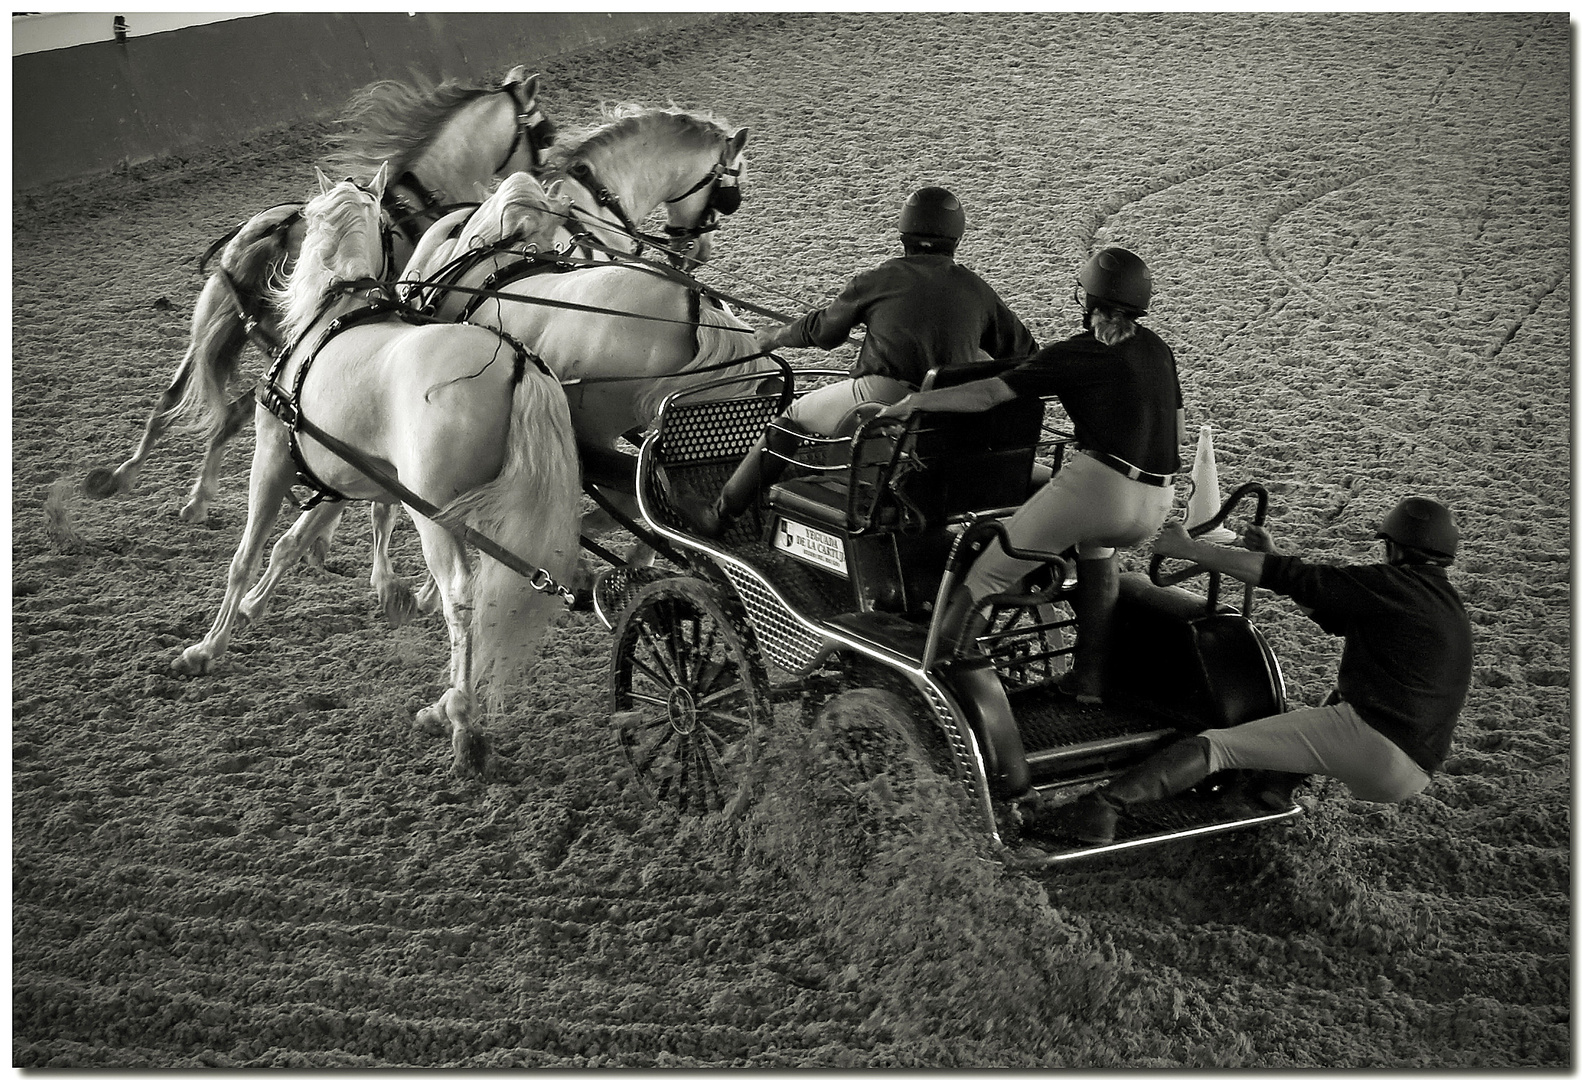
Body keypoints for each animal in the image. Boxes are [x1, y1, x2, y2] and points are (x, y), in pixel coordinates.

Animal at [88, 66, 556, 524]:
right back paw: (196, 493)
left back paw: (130, 477)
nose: (545, 174)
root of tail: (276, 231)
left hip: (209, 325)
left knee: (177, 401)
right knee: (233, 415)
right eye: (543, 134)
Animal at [174, 166, 582, 777]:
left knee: (461, 595)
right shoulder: (345, 476)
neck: (331, 315)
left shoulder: (272, 459)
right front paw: (256, 608)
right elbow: (292, 544)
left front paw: (208, 646)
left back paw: (461, 723)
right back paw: (445, 705)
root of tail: (515, 361)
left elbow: (244, 558)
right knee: (490, 593)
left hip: (435, 514)